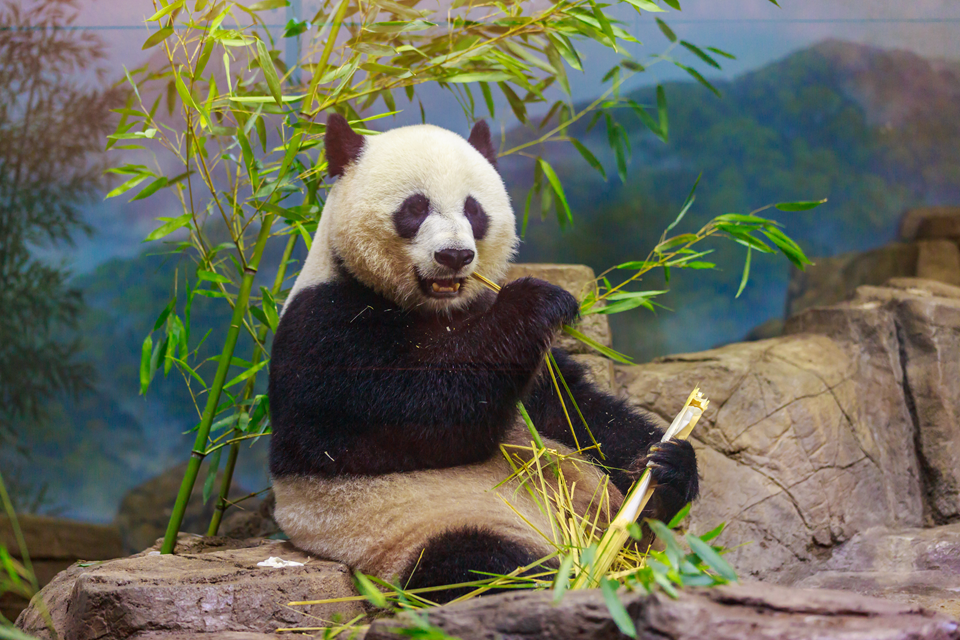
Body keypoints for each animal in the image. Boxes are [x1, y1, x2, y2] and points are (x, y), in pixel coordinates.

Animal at [268, 114, 698, 601]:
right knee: (484, 566)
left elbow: (574, 411)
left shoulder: (503, 334)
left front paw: (666, 464)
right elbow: (413, 416)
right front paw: (536, 300)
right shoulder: (325, 325)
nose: (454, 255)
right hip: (416, 532)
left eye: (474, 210)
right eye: (415, 208)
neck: (435, 309)